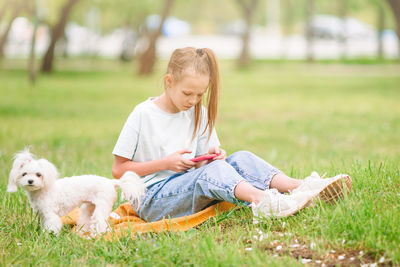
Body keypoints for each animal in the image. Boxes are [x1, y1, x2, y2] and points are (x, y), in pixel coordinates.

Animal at [7, 151, 145, 237]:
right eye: (24, 174)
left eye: (38, 174)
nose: (30, 181)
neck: (44, 190)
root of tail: (111, 182)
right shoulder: (43, 214)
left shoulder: (51, 215)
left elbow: (52, 226)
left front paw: (48, 237)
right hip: (90, 207)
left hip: (102, 205)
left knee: (100, 222)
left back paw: (98, 235)